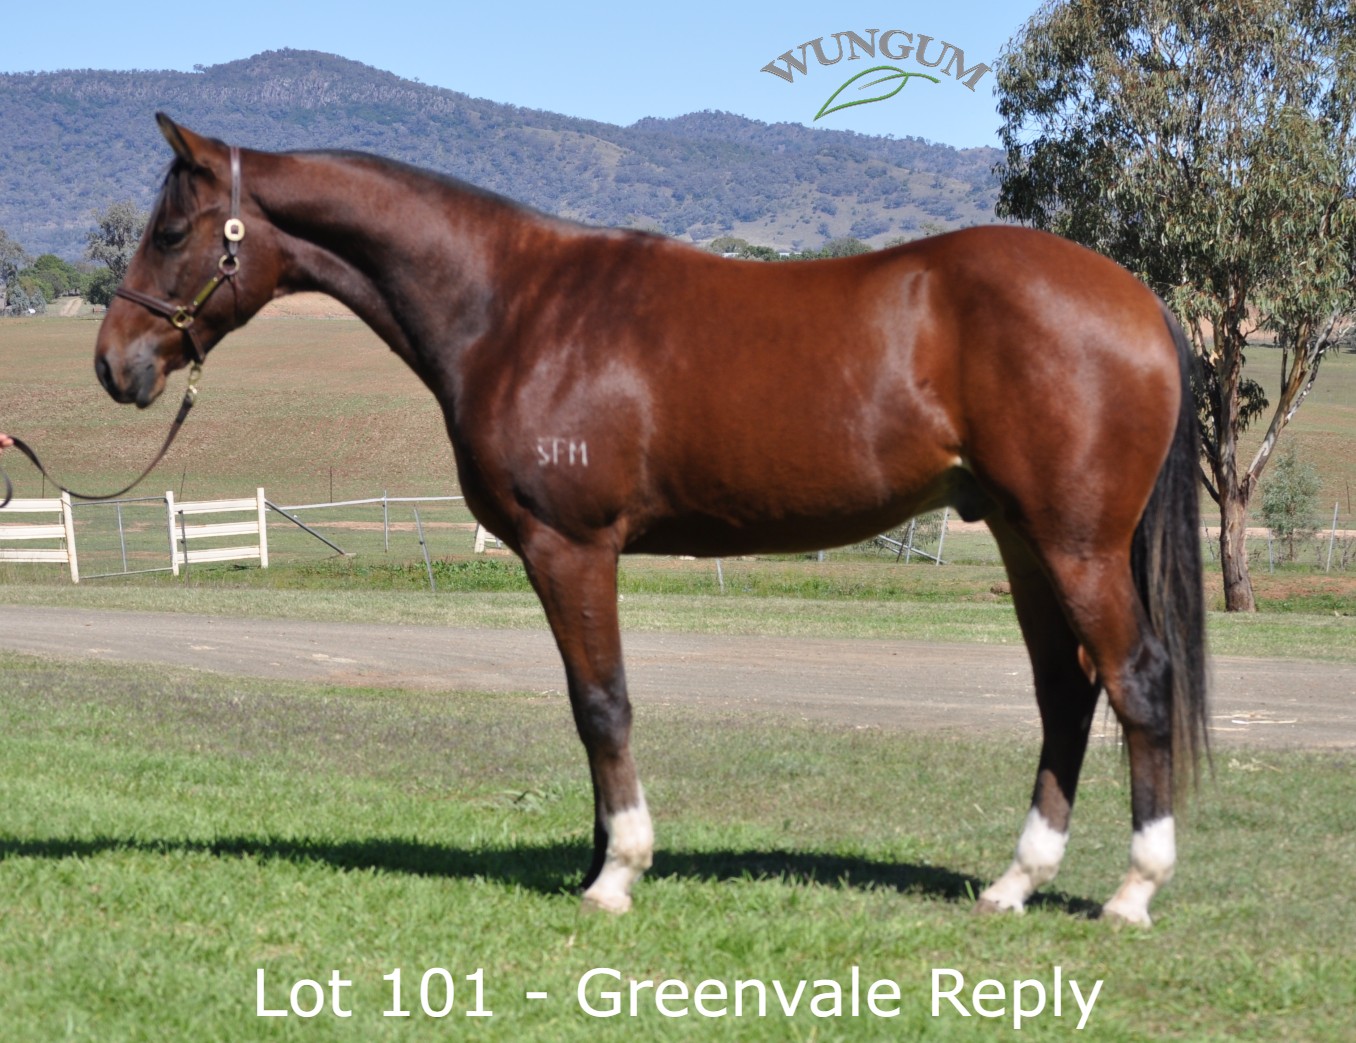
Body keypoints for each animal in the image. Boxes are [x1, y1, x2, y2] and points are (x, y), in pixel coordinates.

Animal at [94, 114, 1206, 926]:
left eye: (170, 230)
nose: (114, 364)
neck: (513, 306)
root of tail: (1143, 302)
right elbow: (585, 704)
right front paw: (595, 855)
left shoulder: (571, 546)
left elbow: (603, 702)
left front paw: (616, 872)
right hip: (1022, 538)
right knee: (1065, 692)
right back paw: (1013, 883)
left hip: (1075, 544)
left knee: (1136, 681)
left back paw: (1133, 890)